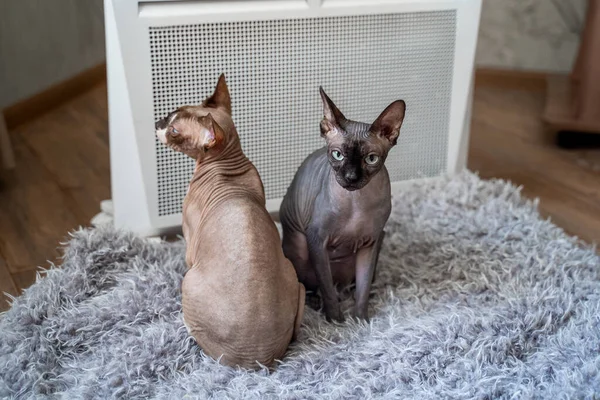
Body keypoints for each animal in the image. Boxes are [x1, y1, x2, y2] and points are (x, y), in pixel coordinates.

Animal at [155, 75, 304, 368]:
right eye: (170, 113)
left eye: (174, 131)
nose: (158, 123)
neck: (226, 164)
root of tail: (255, 361)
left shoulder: (189, 242)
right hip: (292, 272)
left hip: (190, 280)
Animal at [278, 87, 406, 322]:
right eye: (337, 155)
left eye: (371, 159)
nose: (351, 177)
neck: (356, 203)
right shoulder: (317, 239)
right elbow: (326, 287)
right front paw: (335, 320)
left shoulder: (370, 242)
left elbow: (364, 286)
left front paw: (361, 321)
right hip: (300, 245)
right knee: (314, 284)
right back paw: (314, 303)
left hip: (379, 240)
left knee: (357, 283)